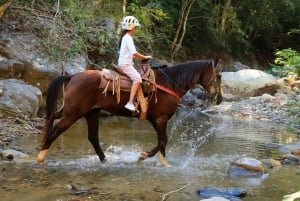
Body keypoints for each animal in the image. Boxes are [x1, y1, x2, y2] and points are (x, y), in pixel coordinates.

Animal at [36, 57, 221, 165]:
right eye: (218, 76)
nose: (218, 98)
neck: (170, 83)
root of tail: (73, 76)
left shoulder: (157, 120)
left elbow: (162, 142)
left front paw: (161, 162)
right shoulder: (160, 119)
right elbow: (163, 141)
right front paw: (146, 157)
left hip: (91, 113)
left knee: (92, 137)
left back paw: (105, 160)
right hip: (73, 114)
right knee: (55, 130)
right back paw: (40, 158)